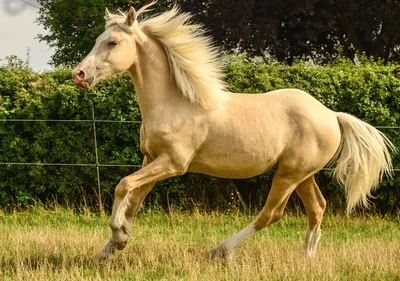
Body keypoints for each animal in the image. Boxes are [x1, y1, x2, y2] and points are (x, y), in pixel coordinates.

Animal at [72, 2, 394, 260]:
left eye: (112, 42)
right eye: (99, 40)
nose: (79, 74)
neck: (174, 102)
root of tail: (332, 115)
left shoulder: (173, 163)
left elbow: (123, 185)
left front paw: (118, 237)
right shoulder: (150, 159)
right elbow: (133, 200)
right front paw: (111, 247)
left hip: (289, 174)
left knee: (271, 213)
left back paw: (219, 251)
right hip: (304, 175)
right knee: (317, 207)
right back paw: (307, 257)